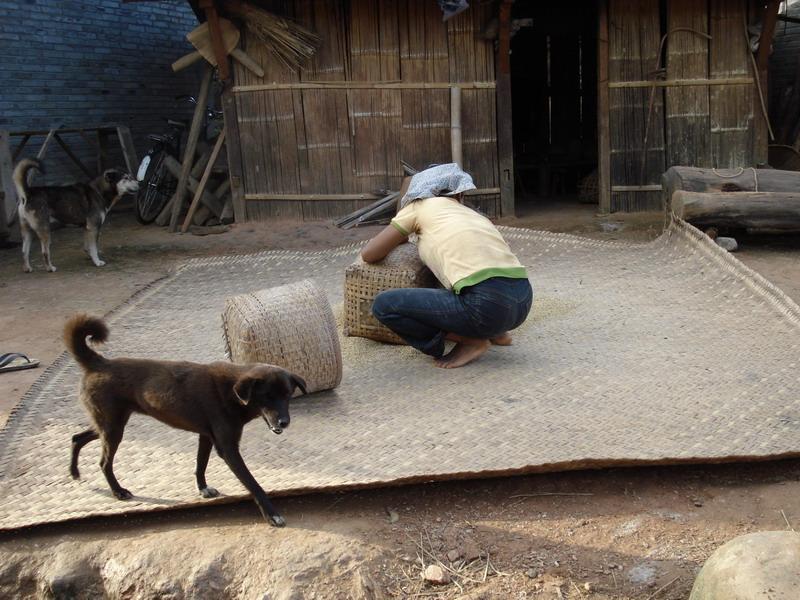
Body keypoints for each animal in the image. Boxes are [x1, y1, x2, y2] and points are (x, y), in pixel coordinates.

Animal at [63, 314, 304, 524]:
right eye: (267, 396)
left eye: (287, 395)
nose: (284, 422)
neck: (232, 392)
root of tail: (99, 363)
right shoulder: (227, 448)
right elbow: (252, 483)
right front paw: (272, 515)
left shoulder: (206, 436)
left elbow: (200, 464)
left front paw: (203, 488)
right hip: (113, 427)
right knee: (104, 462)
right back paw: (118, 491)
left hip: (109, 424)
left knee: (77, 437)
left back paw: (74, 472)